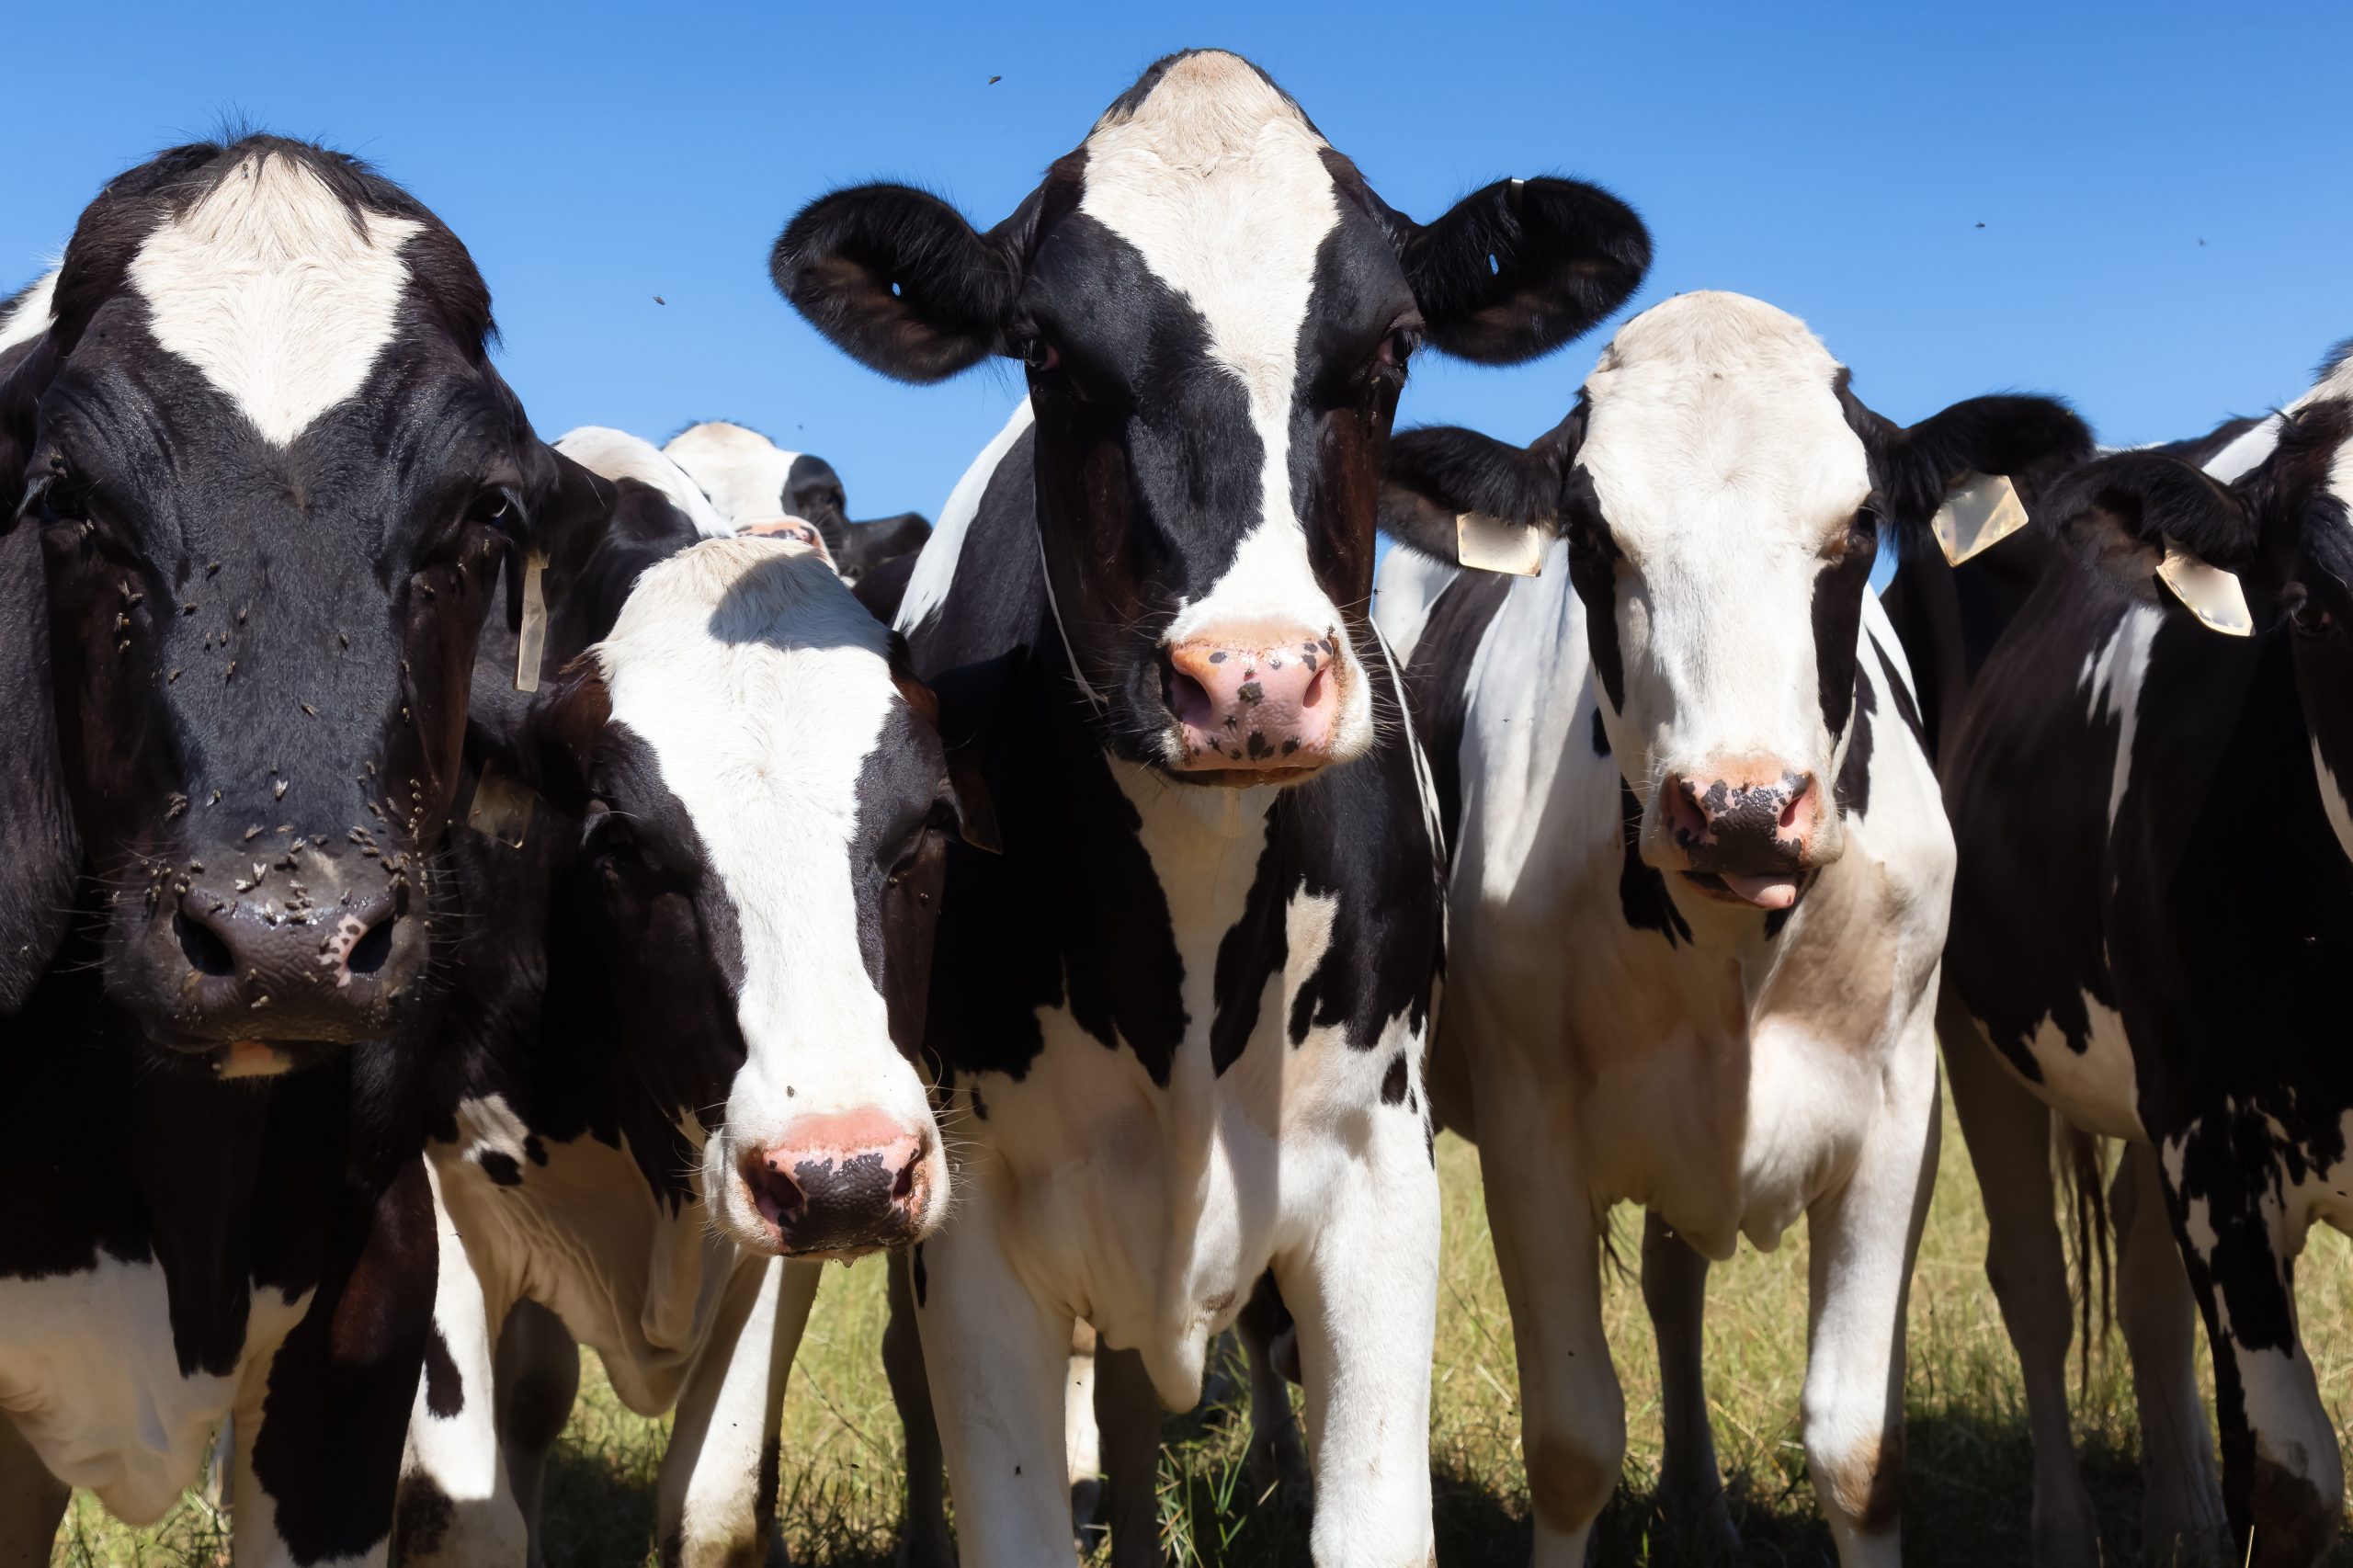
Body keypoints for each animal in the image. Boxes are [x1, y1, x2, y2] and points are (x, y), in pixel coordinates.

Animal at [1371, 289, 2091, 1567]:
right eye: (1593, 537)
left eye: (1858, 525)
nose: (1741, 806)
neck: (1729, 962)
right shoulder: (1527, 1129)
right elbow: (1571, 1446)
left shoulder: (1899, 1114)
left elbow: (1857, 1448)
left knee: (1672, 1283)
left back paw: (1701, 1508)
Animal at [1938, 344, 2353, 1568]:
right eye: (2312, 612)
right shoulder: (2212, 1132)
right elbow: (2294, 1480)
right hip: (1973, 1023)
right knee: (2036, 1274)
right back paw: (2067, 1533)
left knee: (2143, 1277)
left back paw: (2183, 1519)